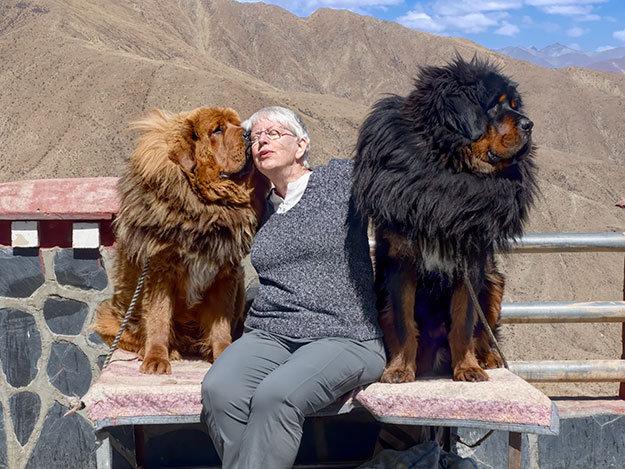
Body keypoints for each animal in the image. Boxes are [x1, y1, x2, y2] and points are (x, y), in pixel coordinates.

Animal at [94, 105, 268, 372]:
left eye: (237, 124)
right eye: (217, 130)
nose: (250, 133)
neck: (205, 207)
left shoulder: (224, 273)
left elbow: (220, 325)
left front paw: (222, 351)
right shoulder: (159, 269)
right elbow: (158, 318)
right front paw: (156, 358)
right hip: (111, 318)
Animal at [352, 56, 536, 382]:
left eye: (515, 104)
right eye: (494, 105)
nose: (529, 124)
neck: (449, 165)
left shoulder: (472, 260)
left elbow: (464, 321)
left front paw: (468, 367)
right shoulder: (402, 259)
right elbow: (403, 321)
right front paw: (399, 369)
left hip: (494, 280)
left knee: (484, 330)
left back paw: (487, 357)